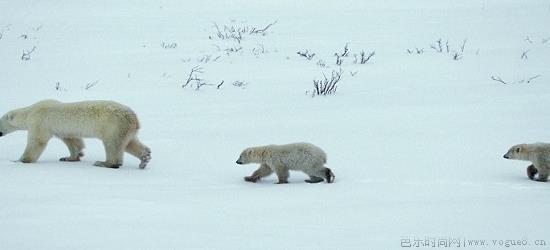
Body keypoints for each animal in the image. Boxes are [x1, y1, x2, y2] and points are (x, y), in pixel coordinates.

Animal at [0, 99, 151, 168]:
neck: (29, 112)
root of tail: (134, 117)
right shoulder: (64, 130)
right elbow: (73, 141)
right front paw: (69, 157)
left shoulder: (39, 122)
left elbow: (37, 141)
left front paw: (20, 160)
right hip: (125, 129)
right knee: (130, 143)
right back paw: (145, 158)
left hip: (112, 126)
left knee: (112, 144)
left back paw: (104, 162)